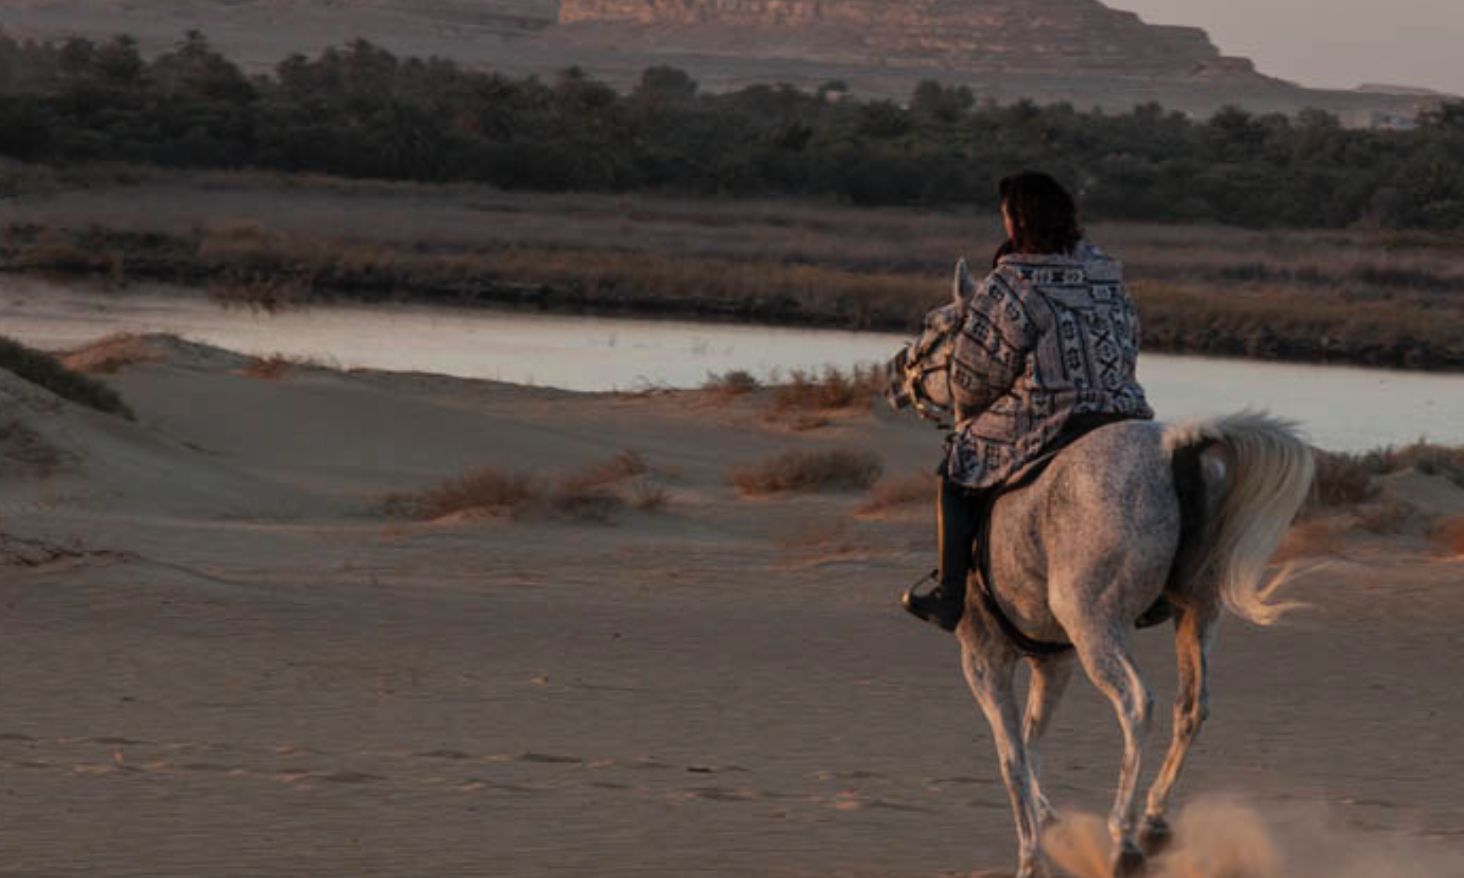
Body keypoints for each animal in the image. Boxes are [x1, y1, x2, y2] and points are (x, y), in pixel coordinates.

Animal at [878, 263, 1317, 878]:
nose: (894, 373)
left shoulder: (986, 660)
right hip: (1195, 615)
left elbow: (1011, 756)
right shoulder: (1053, 661)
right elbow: (1032, 738)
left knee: (1137, 705)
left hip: (1095, 627)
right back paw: (1153, 821)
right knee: (1191, 707)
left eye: (934, 323)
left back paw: (1124, 837)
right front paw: (1049, 818)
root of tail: (1175, 447)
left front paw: (1031, 855)